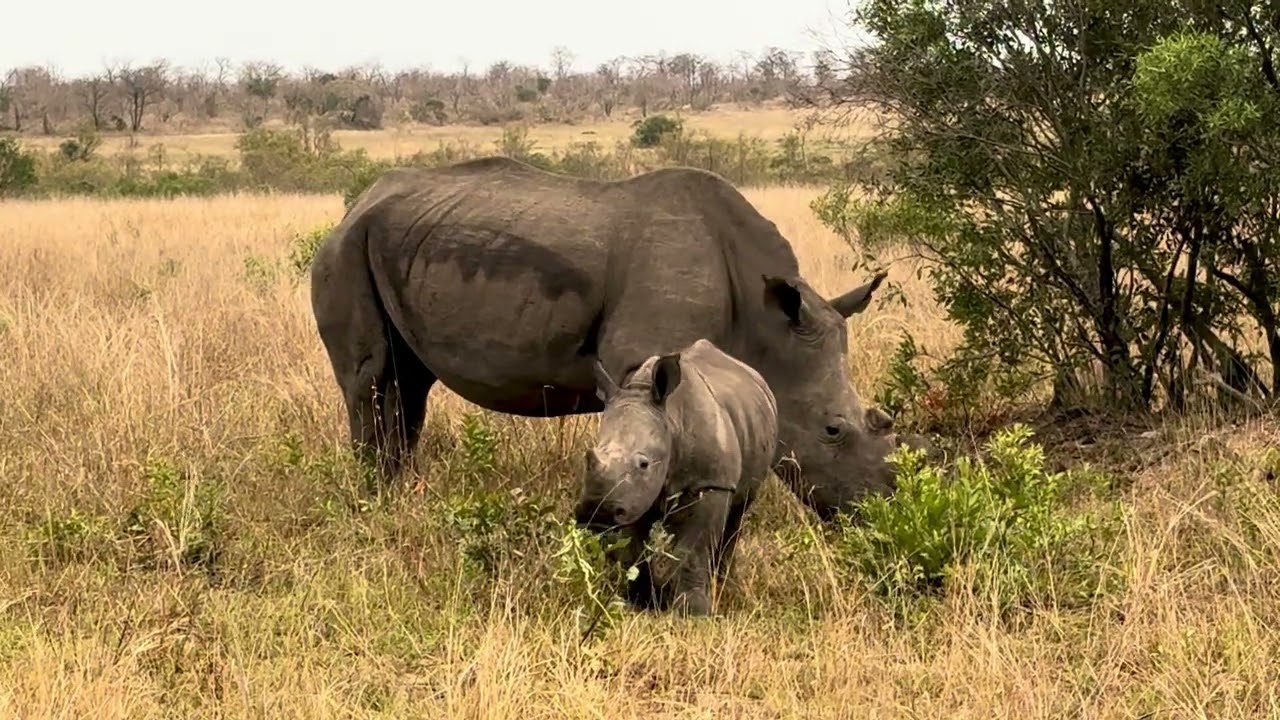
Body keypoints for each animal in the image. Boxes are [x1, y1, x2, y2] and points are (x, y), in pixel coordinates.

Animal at [309, 156, 904, 523]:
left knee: (410, 386)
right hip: (343, 250)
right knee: (371, 380)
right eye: (833, 430)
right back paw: (375, 505)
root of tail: (356, 203)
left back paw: (402, 497)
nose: (876, 510)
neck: (764, 326)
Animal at [574, 339, 779, 615]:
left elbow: (691, 551)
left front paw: (693, 613)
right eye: (591, 456)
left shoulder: (712, 483)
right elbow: (634, 550)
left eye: (644, 464)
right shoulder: (631, 497)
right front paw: (642, 603)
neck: (669, 418)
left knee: (737, 514)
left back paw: (724, 587)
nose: (598, 512)